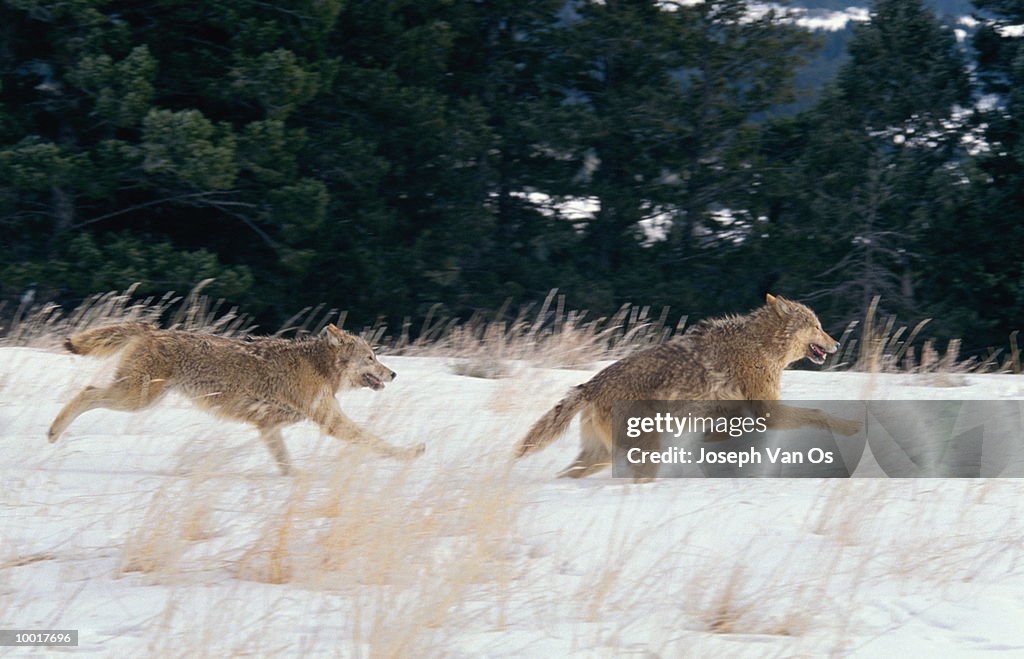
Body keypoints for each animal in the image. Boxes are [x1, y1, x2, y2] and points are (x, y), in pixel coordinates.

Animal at [47, 321, 423, 470]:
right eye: (371, 358)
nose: (393, 373)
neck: (318, 366)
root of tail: (150, 329)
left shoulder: (268, 427)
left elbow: (286, 465)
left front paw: (297, 482)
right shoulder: (332, 422)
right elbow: (375, 441)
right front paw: (410, 454)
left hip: (138, 397)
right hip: (135, 399)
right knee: (87, 392)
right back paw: (53, 433)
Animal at [516, 294, 860, 478]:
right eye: (817, 326)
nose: (836, 343)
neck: (761, 346)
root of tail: (589, 385)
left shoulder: (729, 415)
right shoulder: (769, 413)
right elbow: (820, 414)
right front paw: (851, 427)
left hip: (601, 456)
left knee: (565, 476)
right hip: (642, 453)